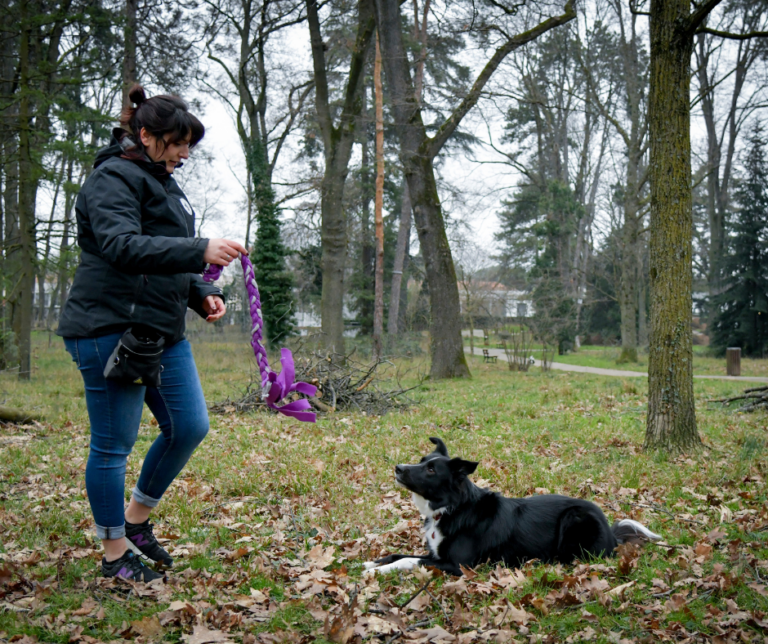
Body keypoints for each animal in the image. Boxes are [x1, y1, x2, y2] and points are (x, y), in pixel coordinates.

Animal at [364, 436, 656, 576]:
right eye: (422, 460)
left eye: (431, 470)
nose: (398, 468)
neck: (452, 509)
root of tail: (611, 534)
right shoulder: (437, 554)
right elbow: (401, 554)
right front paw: (374, 562)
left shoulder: (459, 565)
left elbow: (411, 561)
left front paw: (380, 571)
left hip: (574, 518)